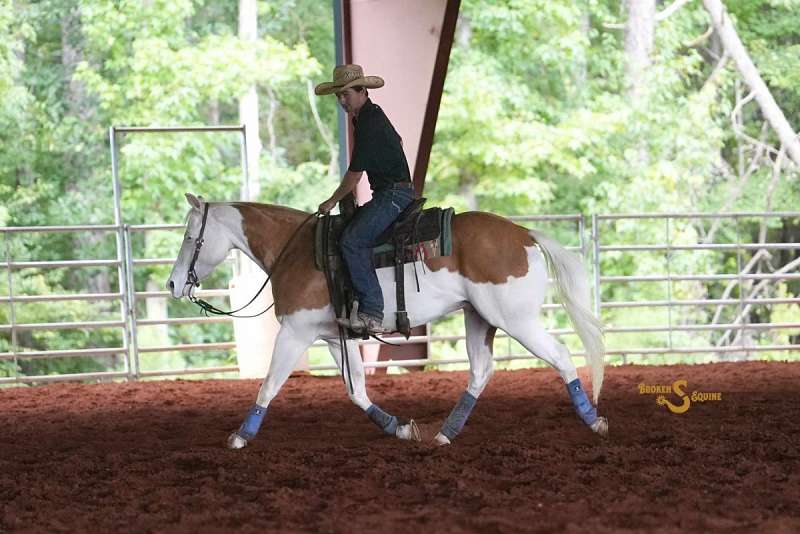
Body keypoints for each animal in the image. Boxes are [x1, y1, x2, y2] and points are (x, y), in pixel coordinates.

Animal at [167, 193, 608, 449]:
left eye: (189, 237)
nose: (173, 283)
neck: (296, 252)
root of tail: (524, 234)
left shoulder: (295, 333)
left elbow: (269, 386)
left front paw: (241, 436)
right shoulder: (335, 338)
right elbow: (357, 391)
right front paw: (398, 428)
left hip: (516, 319)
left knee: (562, 356)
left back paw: (594, 421)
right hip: (479, 318)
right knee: (481, 372)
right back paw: (444, 434)